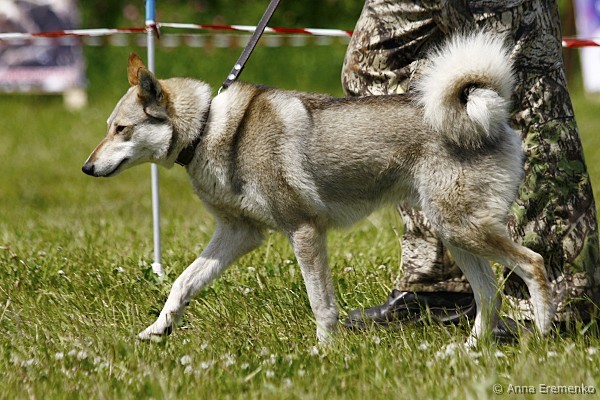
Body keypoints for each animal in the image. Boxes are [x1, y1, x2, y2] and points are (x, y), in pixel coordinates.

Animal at [82, 31, 556, 345]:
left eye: (121, 129)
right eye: (107, 127)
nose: (86, 167)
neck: (208, 129)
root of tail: (494, 115)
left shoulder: (305, 231)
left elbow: (321, 304)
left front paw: (325, 352)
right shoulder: (239, 234)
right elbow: (181, 284)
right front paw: (157, 329)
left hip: (463, 229)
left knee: (533, 264)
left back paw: (543, 336)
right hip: (452, 233)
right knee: (489, 294)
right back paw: (469, 351)